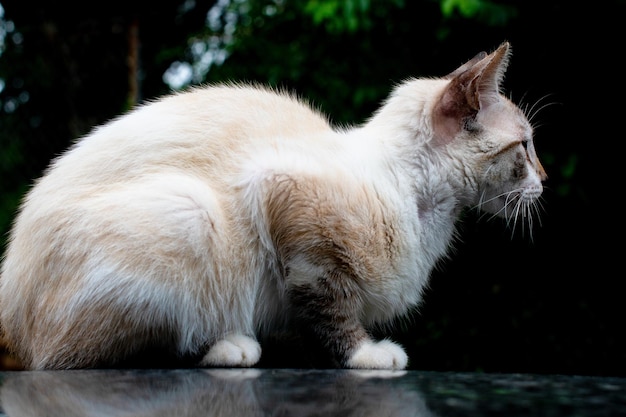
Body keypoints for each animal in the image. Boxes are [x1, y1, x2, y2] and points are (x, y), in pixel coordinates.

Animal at [0, 40, 544, 368]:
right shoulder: (284, 200)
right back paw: (230, 346)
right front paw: (367, 355)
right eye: (525, 146)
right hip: (190, 212)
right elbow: (331, 308)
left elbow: (306, 319)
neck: (425, 210)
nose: (545, 178)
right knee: (78, 358)